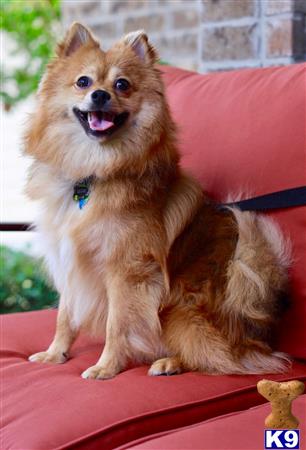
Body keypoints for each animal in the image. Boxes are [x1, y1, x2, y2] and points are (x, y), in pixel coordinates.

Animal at [25, 22, 290, 378]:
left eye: (122, 85)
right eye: (83, 82)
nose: (100, 94)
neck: (93, 173)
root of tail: (255, 335)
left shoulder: (127, 272)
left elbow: (117, 324)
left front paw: (106, 367)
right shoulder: (71, 260)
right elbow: (64, 317)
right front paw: (56, 354)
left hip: (181, 311)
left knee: (215, 356)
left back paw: (170, 362)